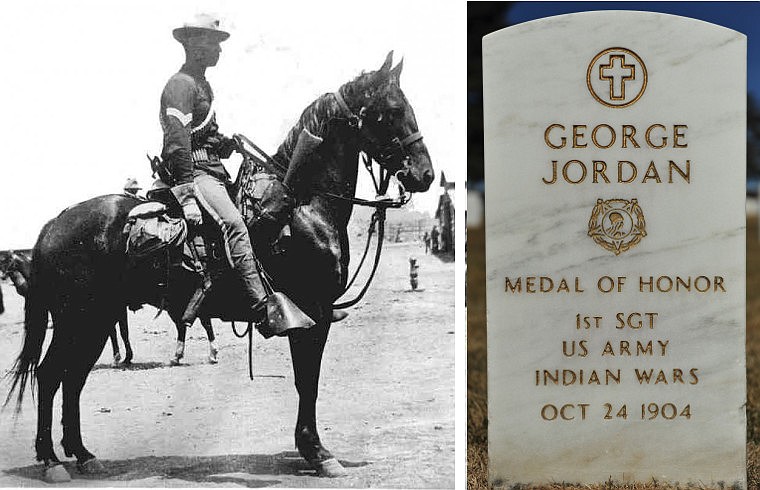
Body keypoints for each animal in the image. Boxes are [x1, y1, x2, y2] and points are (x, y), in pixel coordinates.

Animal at [5, 51, 434, 480]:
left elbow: (305, 381)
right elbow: (307, 381)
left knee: (73, 378)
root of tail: (54, 224)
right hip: (77, 318)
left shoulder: (315, 314)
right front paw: (317, 452)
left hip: (96, 320)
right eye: (392, 111)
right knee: (50, 375)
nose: (424, 174)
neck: (303, 207)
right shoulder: (314, 313)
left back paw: (81, 453)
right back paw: (51, 460)